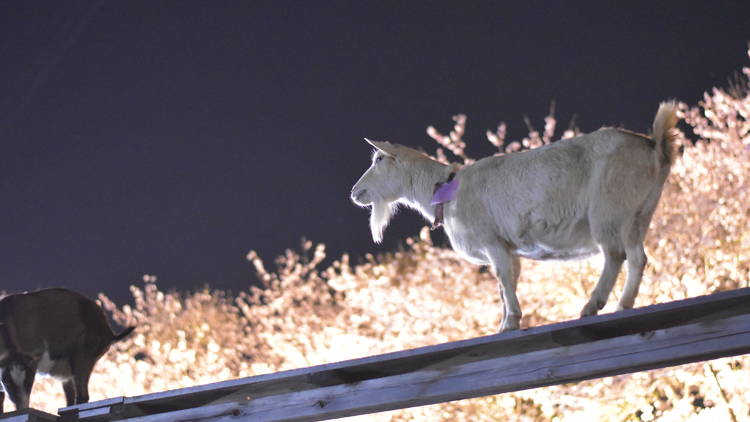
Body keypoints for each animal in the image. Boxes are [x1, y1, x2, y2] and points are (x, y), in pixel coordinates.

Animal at [352, 101, 680, 330]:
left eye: (378, 159)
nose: (355, 192)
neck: (447, 188)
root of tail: (654, 145)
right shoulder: (508, 248)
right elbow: (506, 281)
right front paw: (505, 322)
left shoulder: (492, 240)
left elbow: (502, 278)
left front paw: (510, 322)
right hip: (638, 212)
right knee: (637, 258)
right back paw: (624, 305)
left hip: (607, 209)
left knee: (614, 255)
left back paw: (592, 305)